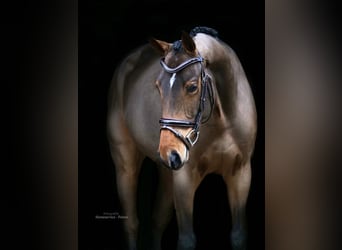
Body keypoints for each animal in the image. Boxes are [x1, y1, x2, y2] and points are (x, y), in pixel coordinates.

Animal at [107, 26, 256, 250]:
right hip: (126, 165)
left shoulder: (240, 173)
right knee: (132, 223)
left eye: (192, 86)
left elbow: (238, 235)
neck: (222, 120)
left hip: (167, 172)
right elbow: (186, 239)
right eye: (158, 87)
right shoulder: (185, 177)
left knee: (157, 220)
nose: (169, 153)